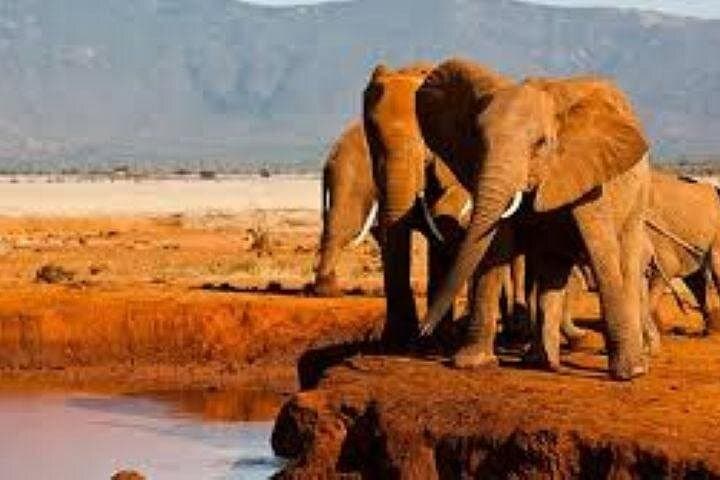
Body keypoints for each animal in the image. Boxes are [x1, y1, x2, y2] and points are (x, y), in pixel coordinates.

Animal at [417, 58, 652, 380]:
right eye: (476, 139)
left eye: (541, 143)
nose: (422, 331)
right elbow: (495, 248)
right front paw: (472, 362)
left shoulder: (591, 176)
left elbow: (600, 250)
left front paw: (628, 374)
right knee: (552, 269)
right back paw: (539, 361)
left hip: (638, 194)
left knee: (625, 260)